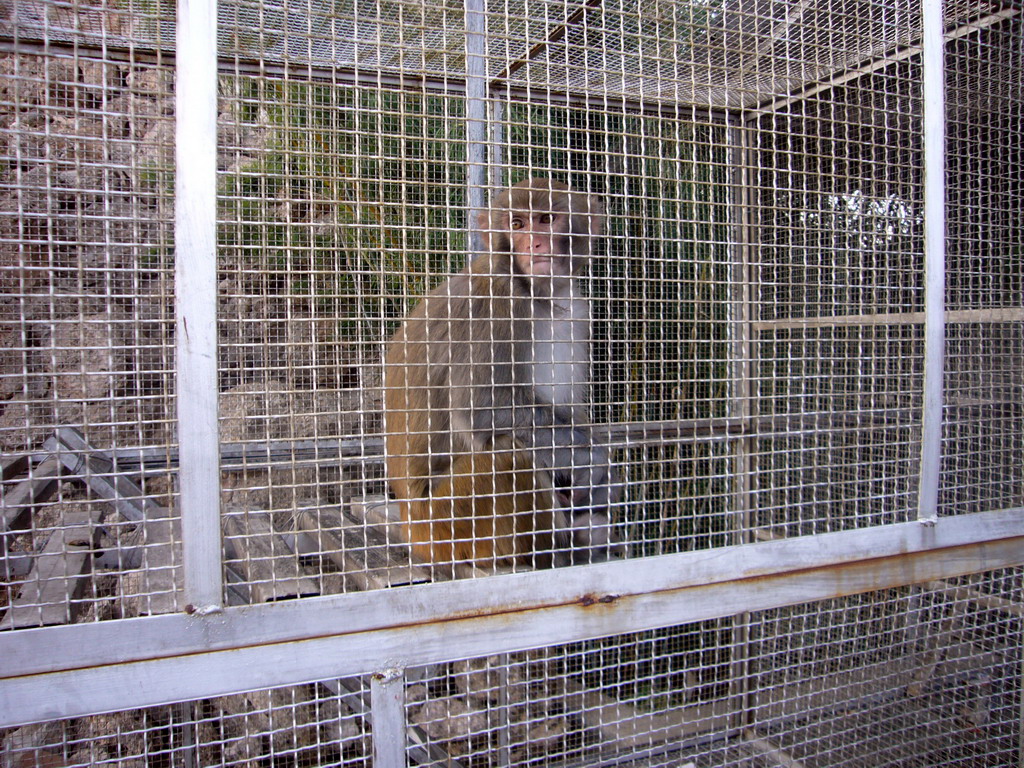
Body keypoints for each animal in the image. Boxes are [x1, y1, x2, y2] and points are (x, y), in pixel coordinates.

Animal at [385, 173, 618, 573]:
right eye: (517, 225)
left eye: (545, 219)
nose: (534, 243)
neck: (539, 297)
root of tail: (410, 525)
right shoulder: (497, 302)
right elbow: (482, 410)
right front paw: (594, 459)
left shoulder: (577, 312)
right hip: (448, 520)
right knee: (511, 453)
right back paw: (563, 550)